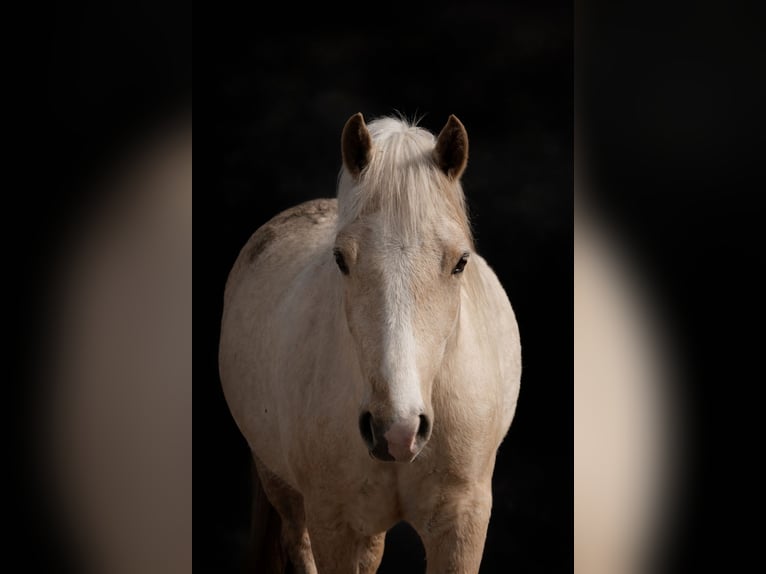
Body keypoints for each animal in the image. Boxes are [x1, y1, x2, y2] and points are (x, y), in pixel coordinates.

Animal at [219, 113, 521, 573]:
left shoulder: (461, 525)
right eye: (341, 259)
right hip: (282, 485)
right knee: (296, 541)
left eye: (460, 262)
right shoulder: (336, 524)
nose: (396, 430)